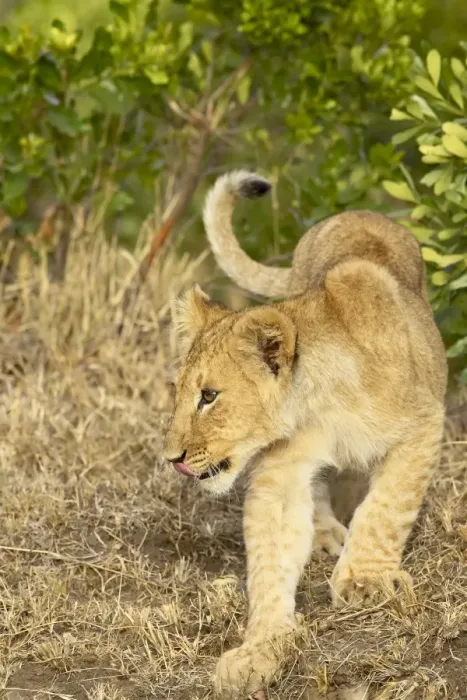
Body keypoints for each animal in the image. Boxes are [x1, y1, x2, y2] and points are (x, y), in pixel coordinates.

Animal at [163, 171, 447, 697]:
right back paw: (324, 533)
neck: (321, 407)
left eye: (209, 396)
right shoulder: (281, 469)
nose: (172, 458)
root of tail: (354, 212)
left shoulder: (424, 422)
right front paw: (259, 649)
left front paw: (364, 582)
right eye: (181, 393)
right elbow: (269, 559)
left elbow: (386, 507)